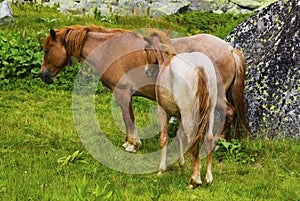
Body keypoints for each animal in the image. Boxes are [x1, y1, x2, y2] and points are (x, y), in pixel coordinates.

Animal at [39, 25, 248, 152]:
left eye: (47, 50)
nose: (43, 75)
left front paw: (133, 144)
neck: (110, 50)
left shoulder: (123, 92)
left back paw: (218, 142)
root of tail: (230, 49)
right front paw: (128, 141)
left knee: (229, 112)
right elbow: (126, 118)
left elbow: (128, 117)